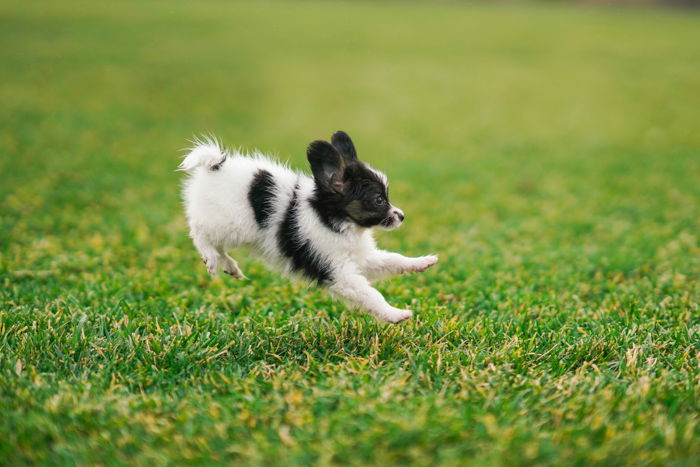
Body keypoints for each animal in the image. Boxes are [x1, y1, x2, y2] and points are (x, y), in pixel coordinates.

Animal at [179, 130, 438, 324]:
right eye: (379, 200)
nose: (402, 216)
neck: (334, 220)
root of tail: (214, 166)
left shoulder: (362, 258)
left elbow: (392, 260)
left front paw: (422, 262)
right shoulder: (338, 272)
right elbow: (370, 294)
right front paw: (395, 314)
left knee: (217, 245)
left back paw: (229, 266)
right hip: (229, 224)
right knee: (199, 231)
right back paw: (211, 258)